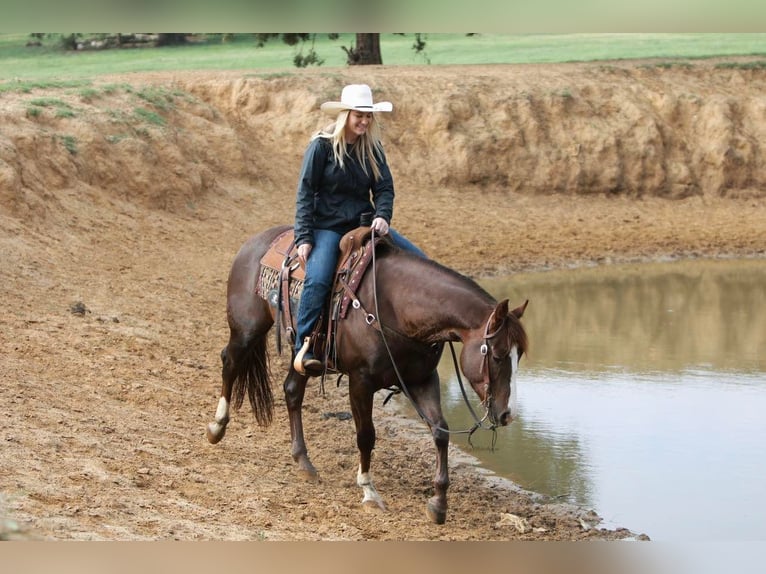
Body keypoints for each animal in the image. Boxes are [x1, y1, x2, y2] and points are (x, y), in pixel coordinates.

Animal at [207, 226, 532, 528]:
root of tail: (255, 242)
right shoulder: (360, 381)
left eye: (518, 356)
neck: (398, 308)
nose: (507, 414)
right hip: (247, 328)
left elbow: (440, 431)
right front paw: (369, 491)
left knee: (291, 390)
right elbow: (366, 435)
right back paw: (216, 427)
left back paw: (304, 461)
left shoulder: (422, 380)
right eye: (498, 355)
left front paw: (438, 504)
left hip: (302, 353)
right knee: (230, 362)